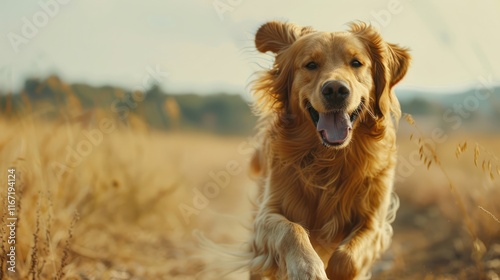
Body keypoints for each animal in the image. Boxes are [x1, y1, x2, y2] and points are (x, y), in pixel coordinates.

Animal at [249, 20, 410, 278]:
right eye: (311, 65)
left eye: (356, 63)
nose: (335, 89)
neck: (331, 160)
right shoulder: (267, 214)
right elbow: (291, 230)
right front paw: (308, 269)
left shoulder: (373, 223)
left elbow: (346, 258)